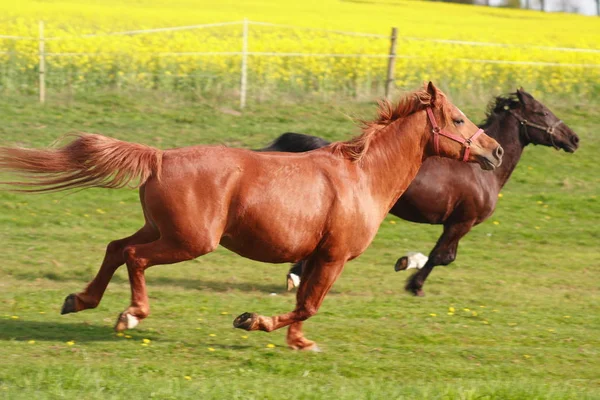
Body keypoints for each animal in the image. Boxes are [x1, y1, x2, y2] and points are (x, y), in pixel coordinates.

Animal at [0, 83, 502, 350]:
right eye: (458, 120)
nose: (495, 151)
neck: (362, 176)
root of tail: (160, 156)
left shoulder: (319, 255)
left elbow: (305, 302)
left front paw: (297, 341)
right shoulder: (334, 256)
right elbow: (309, 303)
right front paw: (254, 322)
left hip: (161, 228)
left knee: (116, 248)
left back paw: (80, 300)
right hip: (189, 241)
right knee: (135, 258)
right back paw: (131, 315)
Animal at [260, 89, 580, 296]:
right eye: (541, 112)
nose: (574, 139)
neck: (480, 173)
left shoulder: (458, 224)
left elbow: (443, 255)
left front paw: (407, 268)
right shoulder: (461, 222)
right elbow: (441, 256)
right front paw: (412, 281)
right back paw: (295, 276)